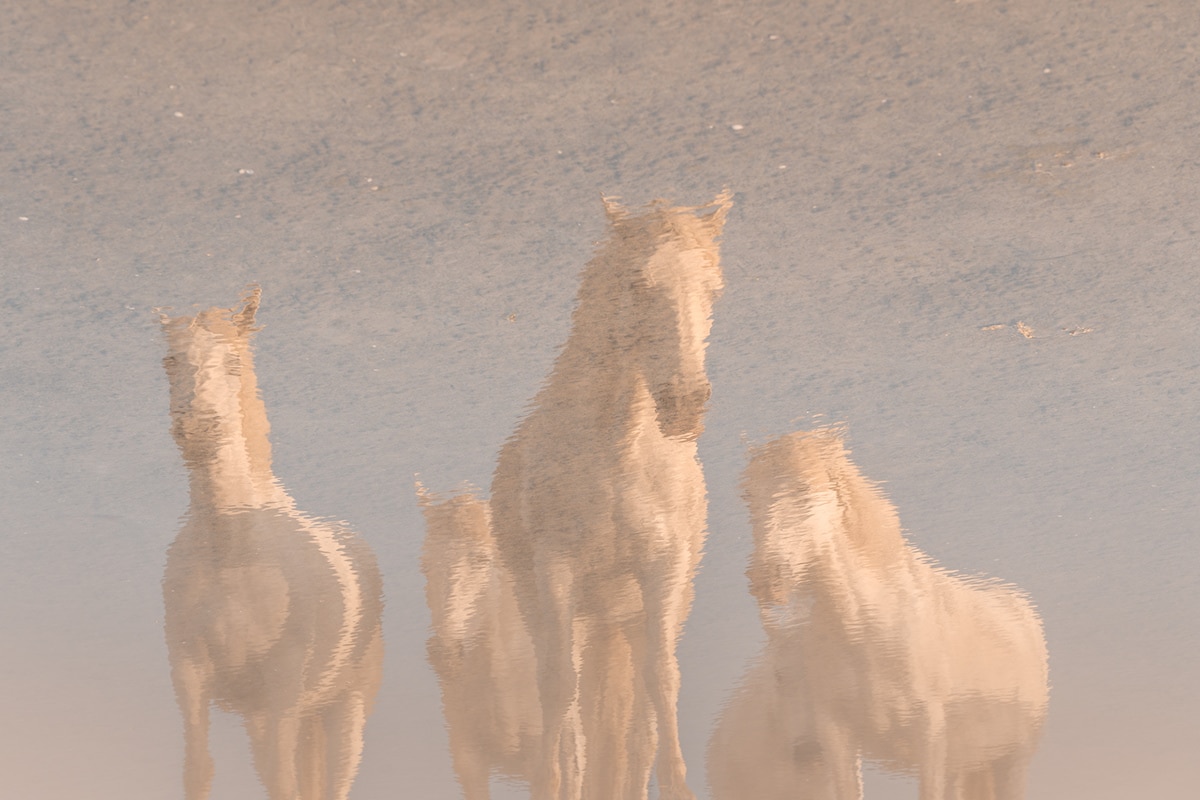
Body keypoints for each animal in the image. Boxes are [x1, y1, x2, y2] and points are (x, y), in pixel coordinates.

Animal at [161, 287, 384, 800]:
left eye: (232, 363)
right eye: (170, 360)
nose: (198, 430)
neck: (233, 551)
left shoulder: (281, 691)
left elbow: (284, 782)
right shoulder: (190, 675)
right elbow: (198, 770)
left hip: (344, 709)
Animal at [484, 192, 731, 800]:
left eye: (712, 288)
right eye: (639, 283)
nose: (685, 403)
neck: (617, 458)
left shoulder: (663, 569)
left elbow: (662, 680)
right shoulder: (557, 568)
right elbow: (557, 687)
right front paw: (548, 783)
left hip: (638, 615)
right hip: (561, 612)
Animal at [709, 428, 1049, 800]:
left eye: (803, 487)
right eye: (748, 494)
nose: (767, 577)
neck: (870, 628)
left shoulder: (930, 738)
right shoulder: (837, 737)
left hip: (1010, 762)